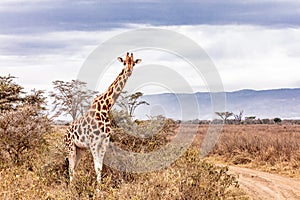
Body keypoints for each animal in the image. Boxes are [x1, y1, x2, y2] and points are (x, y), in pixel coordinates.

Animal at [64, 52, 142, 184]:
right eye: (124, 62)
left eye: (134, 63)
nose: (129, 71)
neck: (105, 108)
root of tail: (65, 132)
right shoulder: (93, 142)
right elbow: (97, 167)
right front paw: (97, 188)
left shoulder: (104, 142)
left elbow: (100, 167)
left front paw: (99, 187)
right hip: (70, 147)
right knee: (70, 168)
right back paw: (70, 188)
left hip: (80, 149)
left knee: (74, 167)